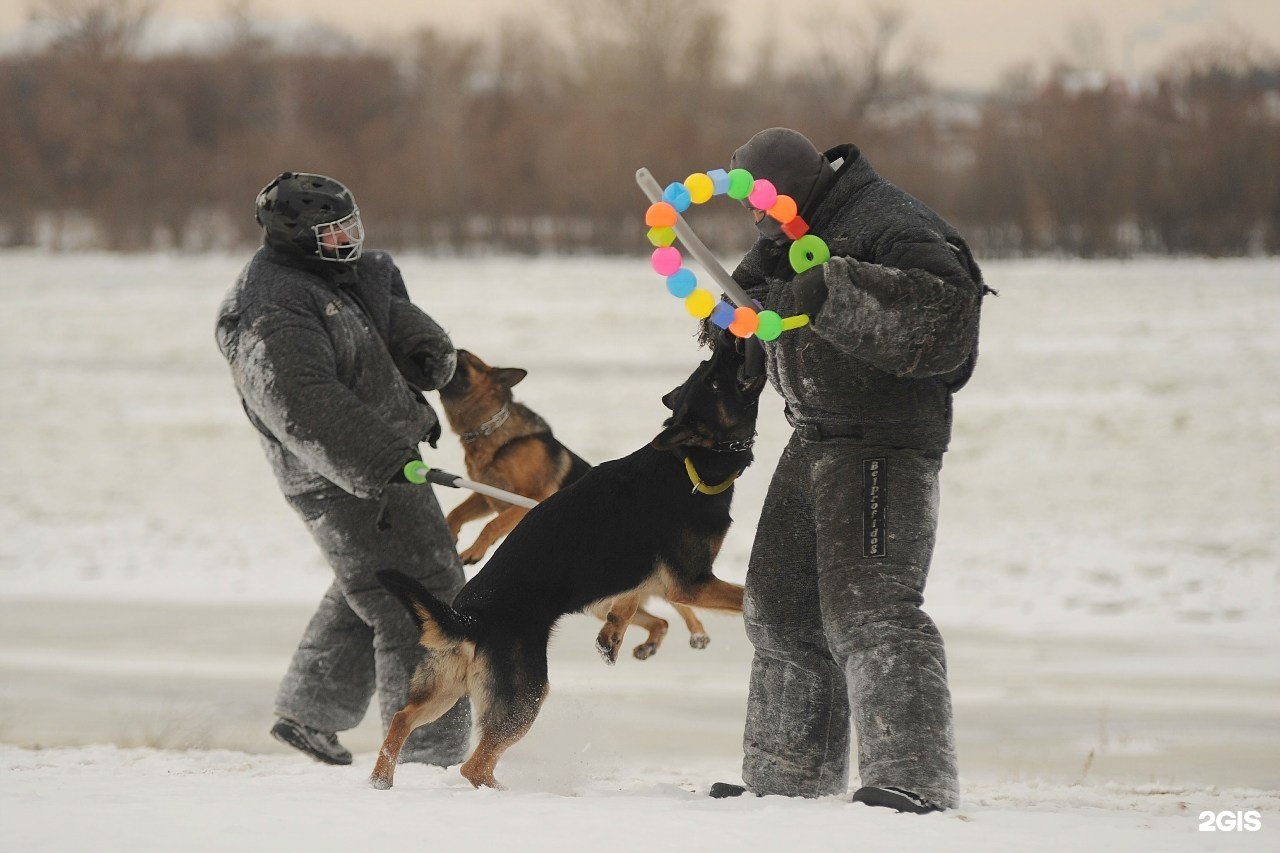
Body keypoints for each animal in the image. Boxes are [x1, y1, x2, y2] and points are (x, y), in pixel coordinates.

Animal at [437, 348, 721, 660]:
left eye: (466, 359)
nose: (451, 349)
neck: (490, 433)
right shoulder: (486, 496)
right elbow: (457, 513)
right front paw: (451, 534)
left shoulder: (531, 497)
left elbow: (492, 525)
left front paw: (473, 551)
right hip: (604, 604)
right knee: (660, 620)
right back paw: (650, 644)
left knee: (679, 604)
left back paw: (698, 633)